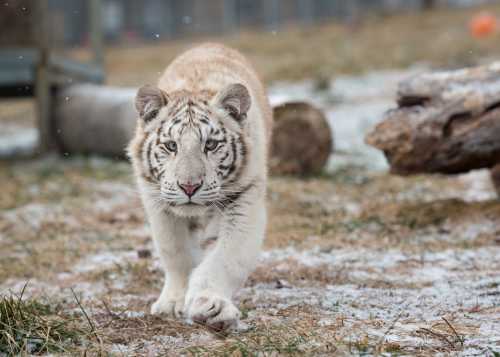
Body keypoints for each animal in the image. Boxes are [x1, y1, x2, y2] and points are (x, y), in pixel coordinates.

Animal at [127, 43, 272, 330]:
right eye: (171, 145)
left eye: (211, 145)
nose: (189, 187)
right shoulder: (158, 205)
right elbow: (176, 253)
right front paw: (172, 302)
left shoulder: (245, 202)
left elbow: (225, 258)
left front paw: (210, 305)